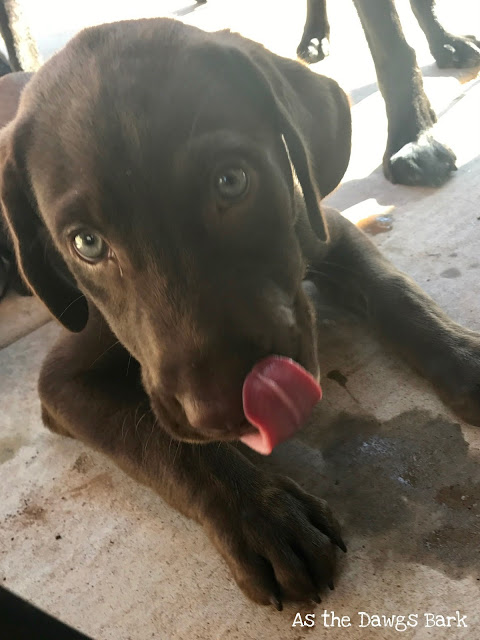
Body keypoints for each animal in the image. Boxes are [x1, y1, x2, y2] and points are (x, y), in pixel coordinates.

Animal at [1, 18, 480, 609]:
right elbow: (166, 442)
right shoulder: (62, 382)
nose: (222, 411)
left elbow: (397, 293)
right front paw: (263, 516)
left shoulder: (324, 226)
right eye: (86, 243)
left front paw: (466, 356)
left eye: (231, 181)